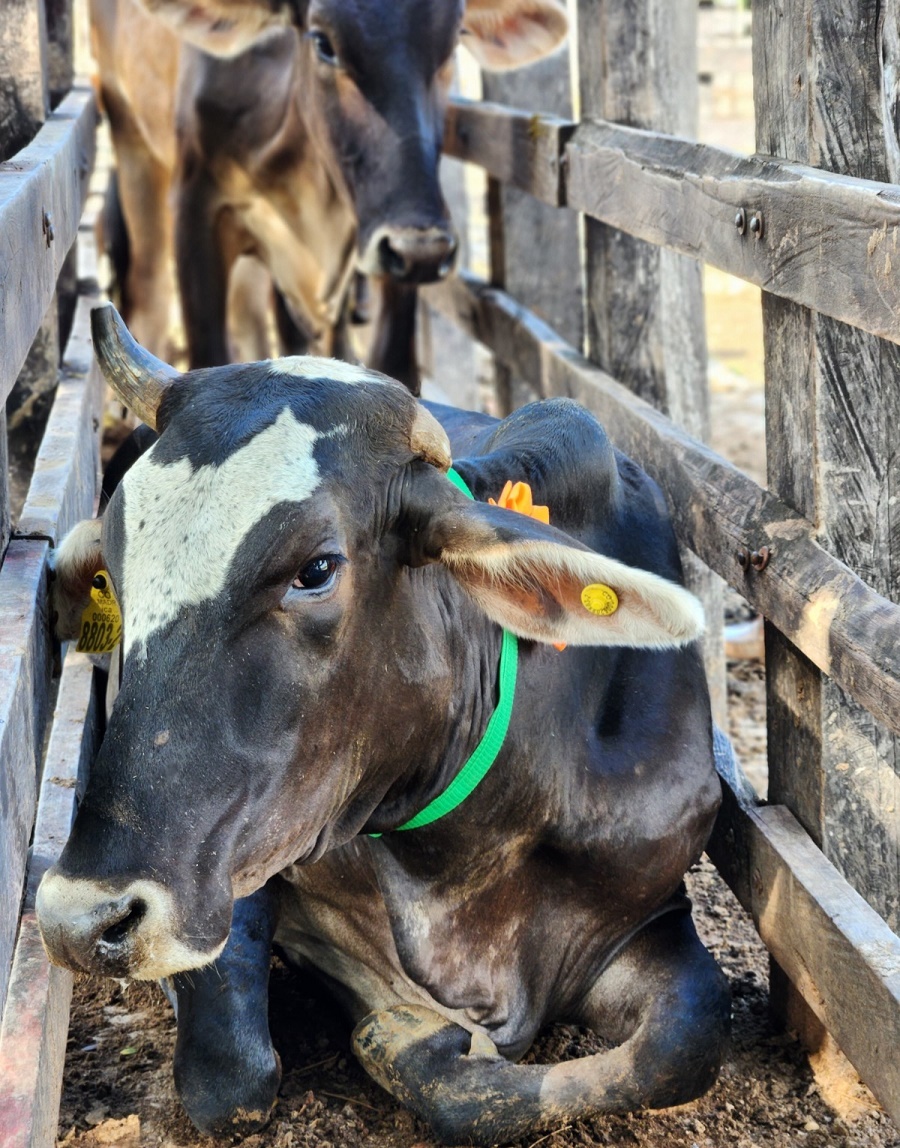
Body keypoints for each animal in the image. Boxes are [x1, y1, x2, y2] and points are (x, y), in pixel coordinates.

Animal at [37, 307, 730, 1148]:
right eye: (118, 567)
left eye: (317, 569)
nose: (79, 919)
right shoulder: (238, 870)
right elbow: (233, 1077)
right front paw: (397, 1028)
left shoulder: (654, 908)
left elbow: (685, 1040)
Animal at [92, 0, 569, 388]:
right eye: (323, 43)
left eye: (452, 45)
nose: (422, 247)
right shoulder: (197, 209)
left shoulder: (387, 243)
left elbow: (390, 365)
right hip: (129, 136)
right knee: (149, 294)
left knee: (250, 314)